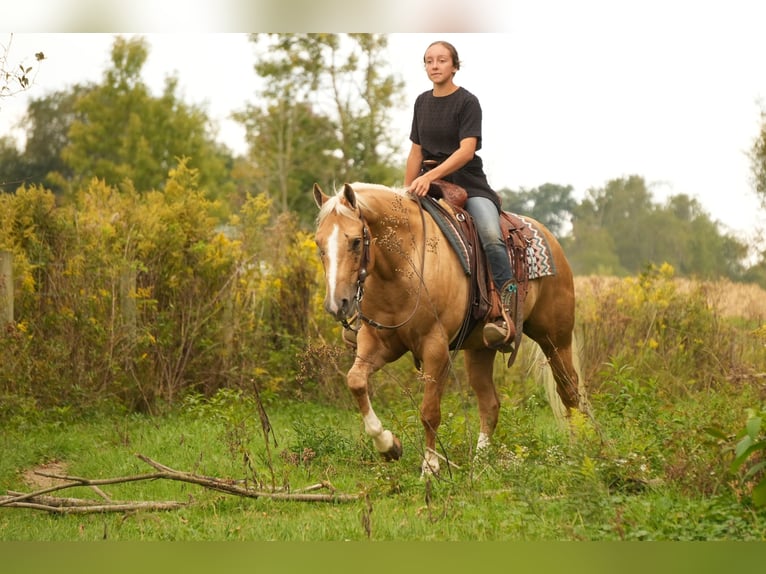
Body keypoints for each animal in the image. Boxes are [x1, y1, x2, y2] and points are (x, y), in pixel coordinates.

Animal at [313, 181, 588, 475]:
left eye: (355, 241)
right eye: (319, 244)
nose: (337, 304)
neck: (404, 266)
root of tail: (549, 237)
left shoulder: (436, 347)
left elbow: (430, 411)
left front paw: (430, 467)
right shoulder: (377, 342)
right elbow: (355, 381)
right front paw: (389, 446)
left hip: (555, 339)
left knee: (569, 392)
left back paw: (577, 452)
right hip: (480, 350)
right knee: (490, 404)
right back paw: (480, 462)